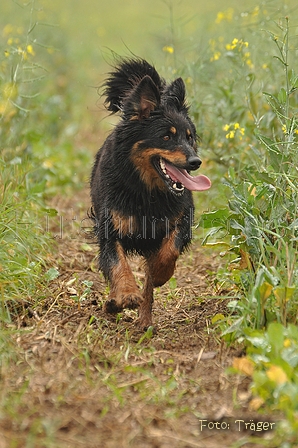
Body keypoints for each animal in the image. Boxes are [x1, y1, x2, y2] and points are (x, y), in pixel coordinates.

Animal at [89, 58, 211, 328]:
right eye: (166, 137)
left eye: (190, 138)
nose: (195, 162)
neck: (147, 191)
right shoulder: (110, 227)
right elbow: (118, 263)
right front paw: (126, 294)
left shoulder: (181, 218)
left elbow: (168, 252)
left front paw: (160, 274)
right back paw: (114, 303)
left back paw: (145, 319)